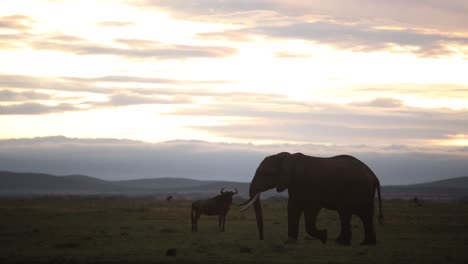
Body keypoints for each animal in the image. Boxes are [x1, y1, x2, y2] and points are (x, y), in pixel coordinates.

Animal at [239, 153, 382, 245]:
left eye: (264, 173)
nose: (261, 239)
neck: (288, 157)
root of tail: (374, 176)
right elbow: (293, 207)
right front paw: (290, 242)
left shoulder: (308, 185)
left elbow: (311, 209)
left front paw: (324, 236)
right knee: (364, 215)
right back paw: (366, 244)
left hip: (356, 190)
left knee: (347, 213)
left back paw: (342, 243)